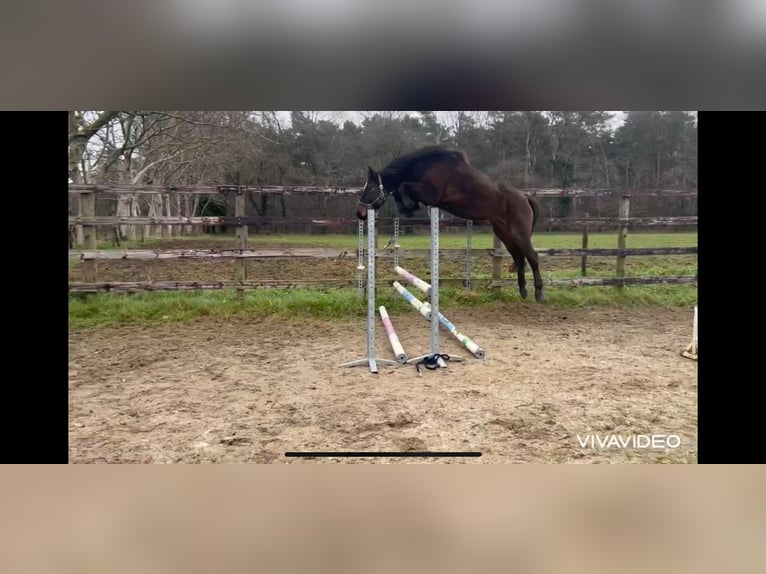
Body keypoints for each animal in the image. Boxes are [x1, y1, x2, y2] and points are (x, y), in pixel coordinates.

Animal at [360, 146, 544, 304]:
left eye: (370, 189)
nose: (359, 213)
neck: (427, 167)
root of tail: (525, 198)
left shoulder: (432, 195)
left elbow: (403, 185)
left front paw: (410, 207)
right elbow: (400, 188)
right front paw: (407, 207)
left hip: (519, 234)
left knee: (532, 256)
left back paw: (539, 293)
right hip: (505, 234)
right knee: (519, 258)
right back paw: (523, 291)